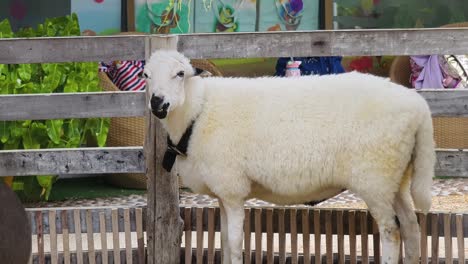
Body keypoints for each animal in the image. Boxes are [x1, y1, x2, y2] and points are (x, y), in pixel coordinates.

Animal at [142, 50, 436, 264]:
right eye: (146, 75)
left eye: (180, 74)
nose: (157, 102)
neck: (197, 111)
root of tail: (419, 107)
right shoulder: (224, 193)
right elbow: (224, 241)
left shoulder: (233, 189)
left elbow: (234, 244)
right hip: (395, 178)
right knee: (411, 228)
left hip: (375, 177)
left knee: (391, 231)